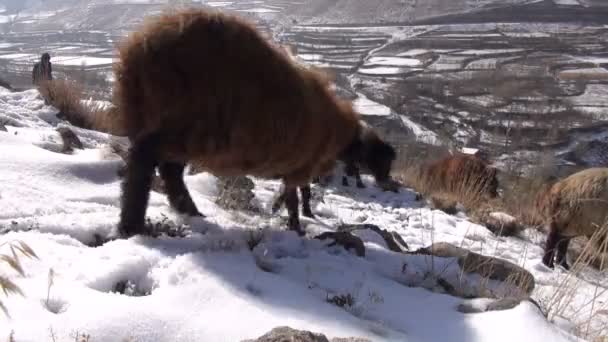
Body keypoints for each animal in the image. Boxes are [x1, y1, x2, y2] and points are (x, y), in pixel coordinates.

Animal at [111, 8, 384, 238]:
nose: (383, 181)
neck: (337, 131)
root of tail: (140, 46)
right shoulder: (301, 166)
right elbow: (296, 198)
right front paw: (296, 226)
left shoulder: (295, 168)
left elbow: (290, 195)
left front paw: (280, 211)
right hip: (187, 124)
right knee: (145, 156)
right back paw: (132, 225)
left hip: (172, 127)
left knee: (168, 170)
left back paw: (191, 213)